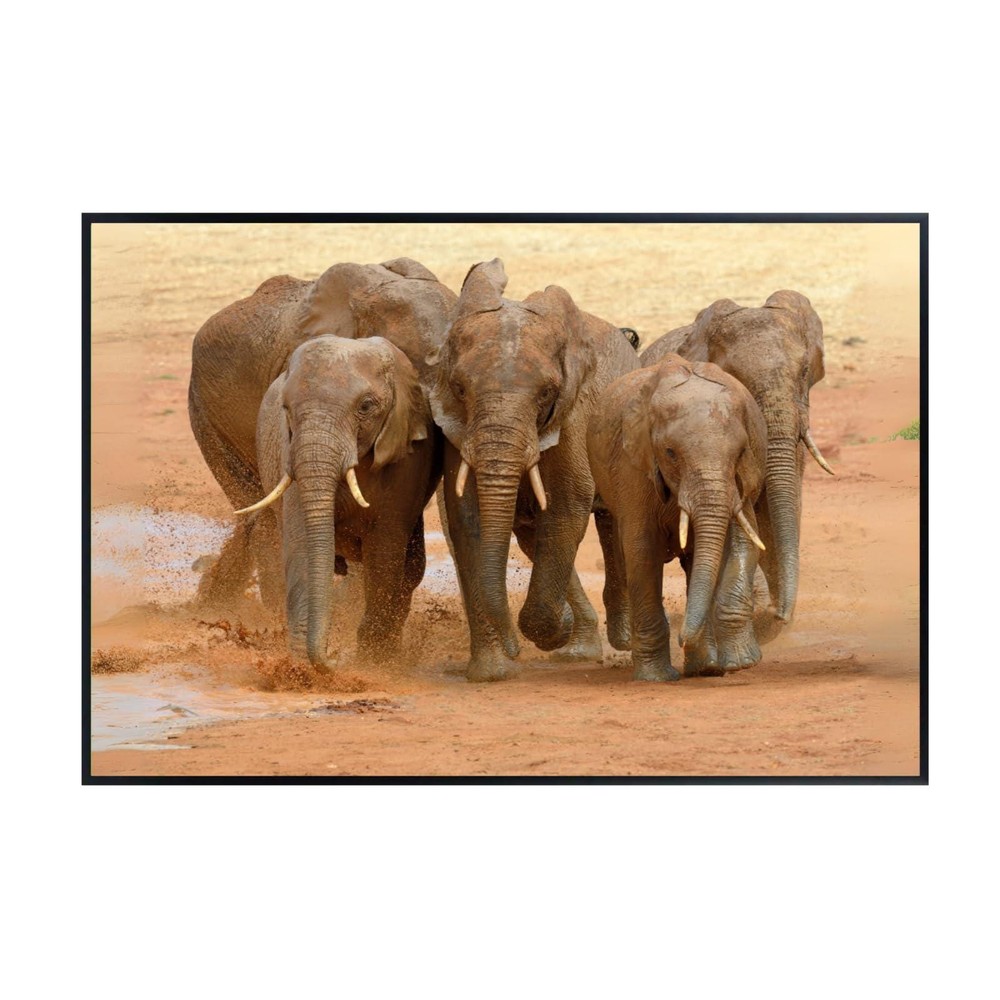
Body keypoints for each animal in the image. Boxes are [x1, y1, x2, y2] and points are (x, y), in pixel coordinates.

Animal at [237, 335, 439, 668]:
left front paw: (372, 661)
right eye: (286, 408)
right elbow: (302, 542)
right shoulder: (290, 452)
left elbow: (385, 549)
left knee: (410, 569)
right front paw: (300, 669)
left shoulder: (406, 457)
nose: (333, 659)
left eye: (366, 406)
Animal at [427, 259, 640, 681]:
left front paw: (552, 628)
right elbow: (466, 516)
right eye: (460, 389)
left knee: (611, 522)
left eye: (546, 394)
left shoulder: (574, 413)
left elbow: (568, 502)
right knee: (533, 536)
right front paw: (491, 672)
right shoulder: (457, 428)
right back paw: (577, 649)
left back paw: (621, 639)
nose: (513, 650)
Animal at [587, 354, 768, 681]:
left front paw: (740, 662)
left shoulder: (743, 477)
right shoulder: (633, 467)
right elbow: (642, 549)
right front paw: (655, 678)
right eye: (670, 453)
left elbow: (743, 540)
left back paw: (706, 666)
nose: (683, 638)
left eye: (740, 452)